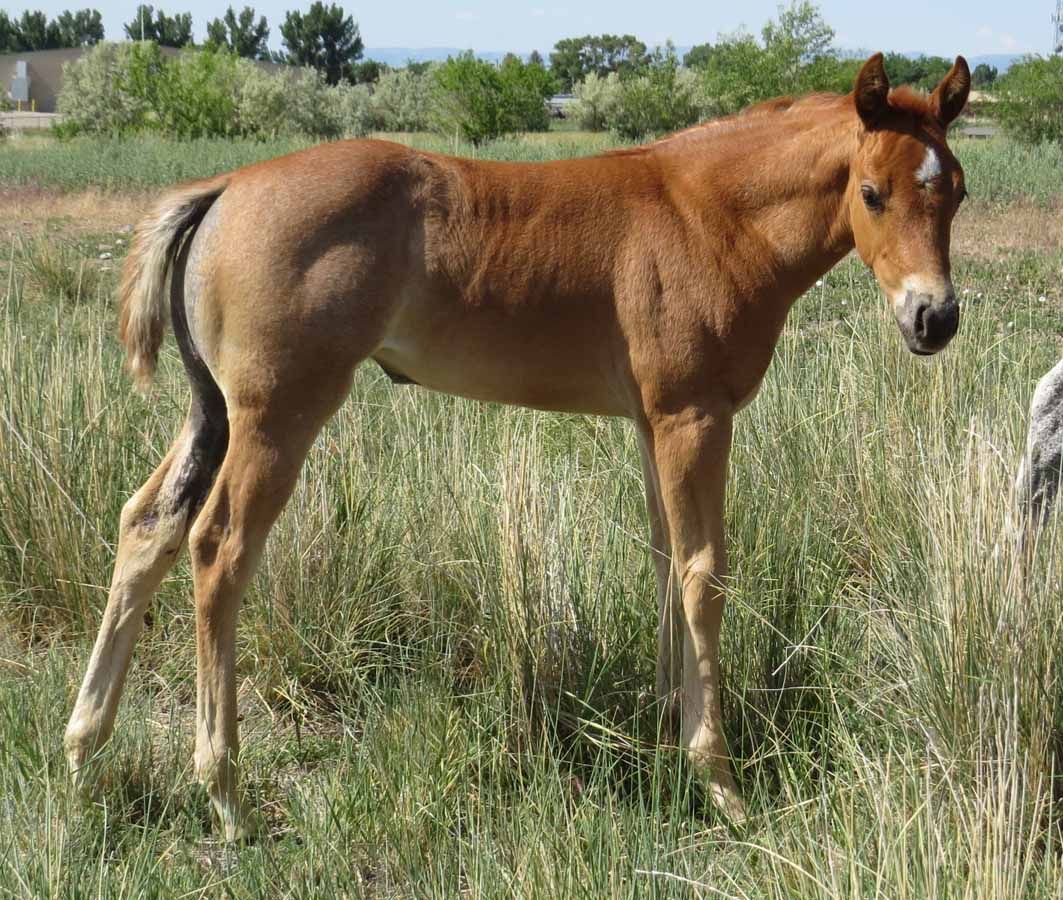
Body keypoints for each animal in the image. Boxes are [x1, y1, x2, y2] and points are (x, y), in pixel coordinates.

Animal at [64, 52, 971, 840]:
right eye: (870, 192)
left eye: (956, 191)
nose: (933, 318)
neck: (711, 215)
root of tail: (224, 190)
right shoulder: (694, 416)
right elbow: (702, 574)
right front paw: (718, 779)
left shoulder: (650, 423)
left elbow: (663, 565)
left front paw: (664, 731)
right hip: (277, 413)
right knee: (219, 549)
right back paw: (223, 792)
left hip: (213, 411)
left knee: (147, 525)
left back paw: (84, 750)